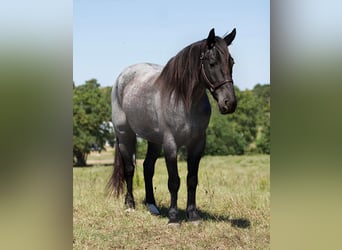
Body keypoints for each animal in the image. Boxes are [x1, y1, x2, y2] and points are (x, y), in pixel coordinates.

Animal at [108, 27, 236, 225]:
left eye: (232, 62)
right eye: (212, 63)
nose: (229, 103)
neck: (183, 99)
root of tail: (123, 76)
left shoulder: (198, 143)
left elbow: (192, 179)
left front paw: (193, 215)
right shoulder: (171, 143)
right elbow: (174, 181)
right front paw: (174, 217)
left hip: (154, 140)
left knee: (147, 168)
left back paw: (152, 206)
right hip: (125, 135)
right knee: (129, 168)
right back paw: (130, 205)